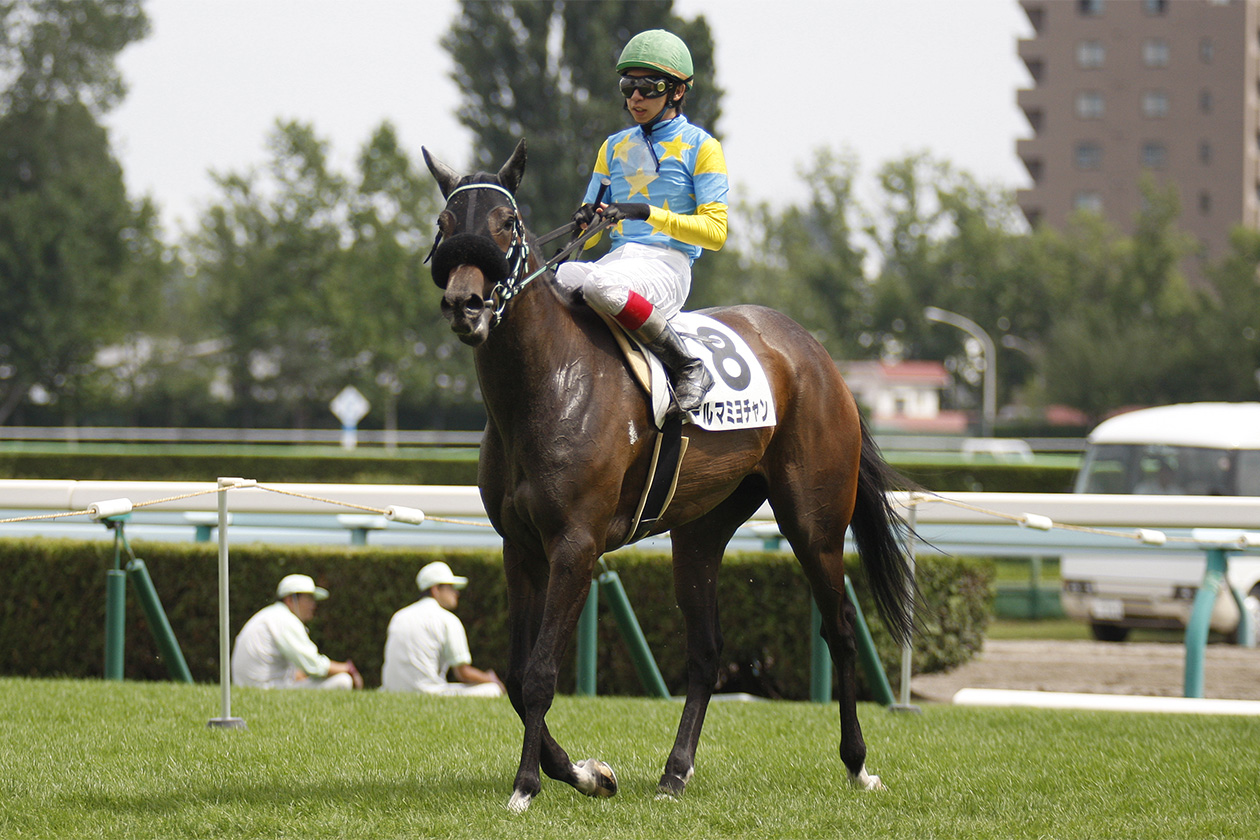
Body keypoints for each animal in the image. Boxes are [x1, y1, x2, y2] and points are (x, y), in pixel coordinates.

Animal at [422, 139, 917, 813]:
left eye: (507, 224)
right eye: (445, 224)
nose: (463, 305)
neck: (542, 387)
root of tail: (816, 354)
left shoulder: (576, 546)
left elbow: (543, 673)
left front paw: (526, 786)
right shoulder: (520, 546)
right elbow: (518, 676)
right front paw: (585, 772)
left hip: (814, 523)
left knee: (839, 629)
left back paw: (859, 764)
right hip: (700, 530)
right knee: (706, 652)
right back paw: (675, 772)